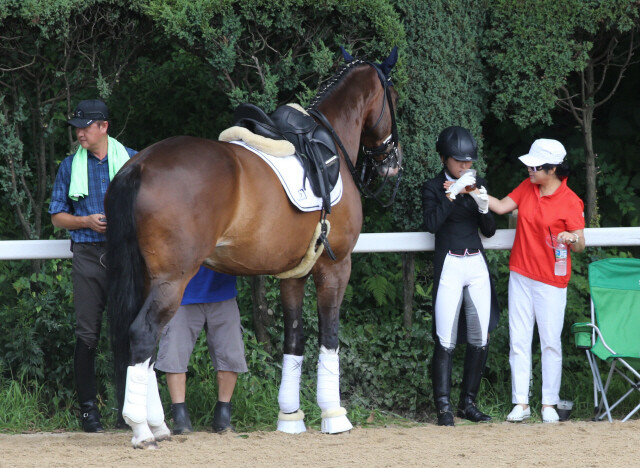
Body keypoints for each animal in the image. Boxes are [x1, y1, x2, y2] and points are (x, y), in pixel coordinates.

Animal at [107, 46, 402, 446]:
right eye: (395, 97)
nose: (392, 164)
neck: (331, 145)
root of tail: (139, 164)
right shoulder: (335, 267)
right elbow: (329, 335)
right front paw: (333, 415)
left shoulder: (293, 274)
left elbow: (294, 339)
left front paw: (290, 417)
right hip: (172, 280)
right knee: (143, 334)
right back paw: (141, 428)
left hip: (148, 278)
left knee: (143, 341)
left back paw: (158, 425)